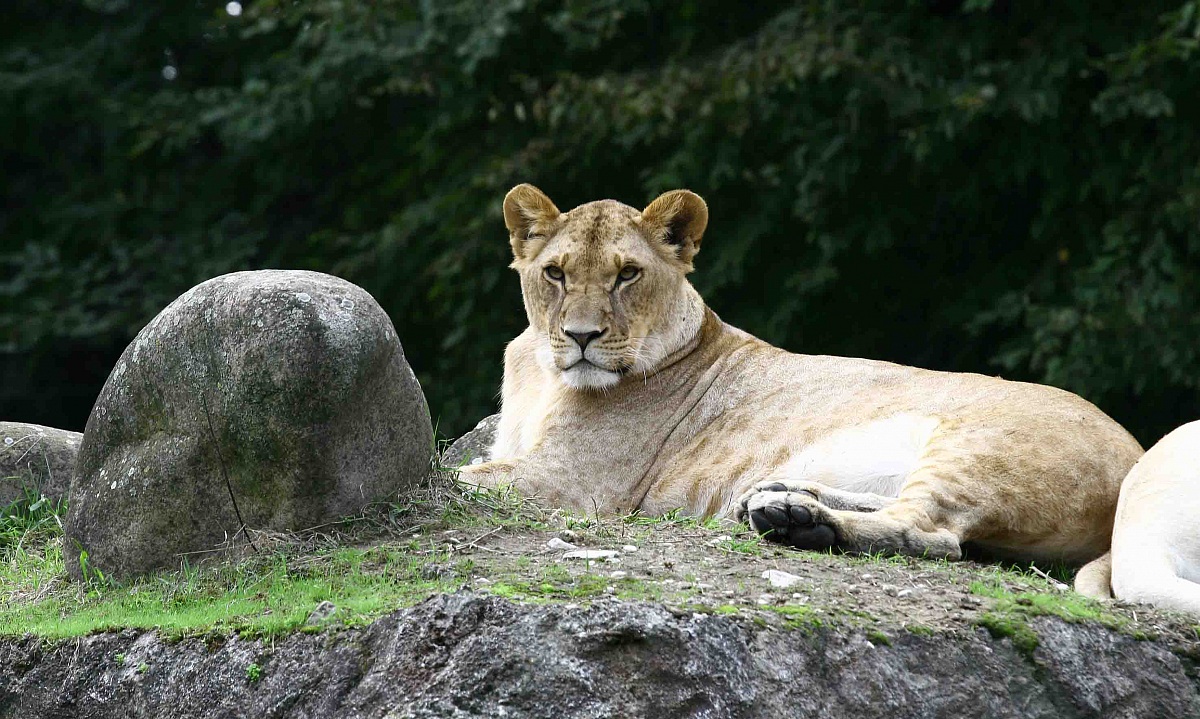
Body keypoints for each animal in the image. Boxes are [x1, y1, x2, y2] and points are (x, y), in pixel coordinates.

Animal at [459, 184, 1143, 564]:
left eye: (628, 274)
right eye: (555, 273)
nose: (581, 337)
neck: (542, 374)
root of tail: (1138, 453)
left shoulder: (569, 484)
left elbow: (463, 477)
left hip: (978, 445)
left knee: (934, 532)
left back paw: (802, 525)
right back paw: (782, 498)